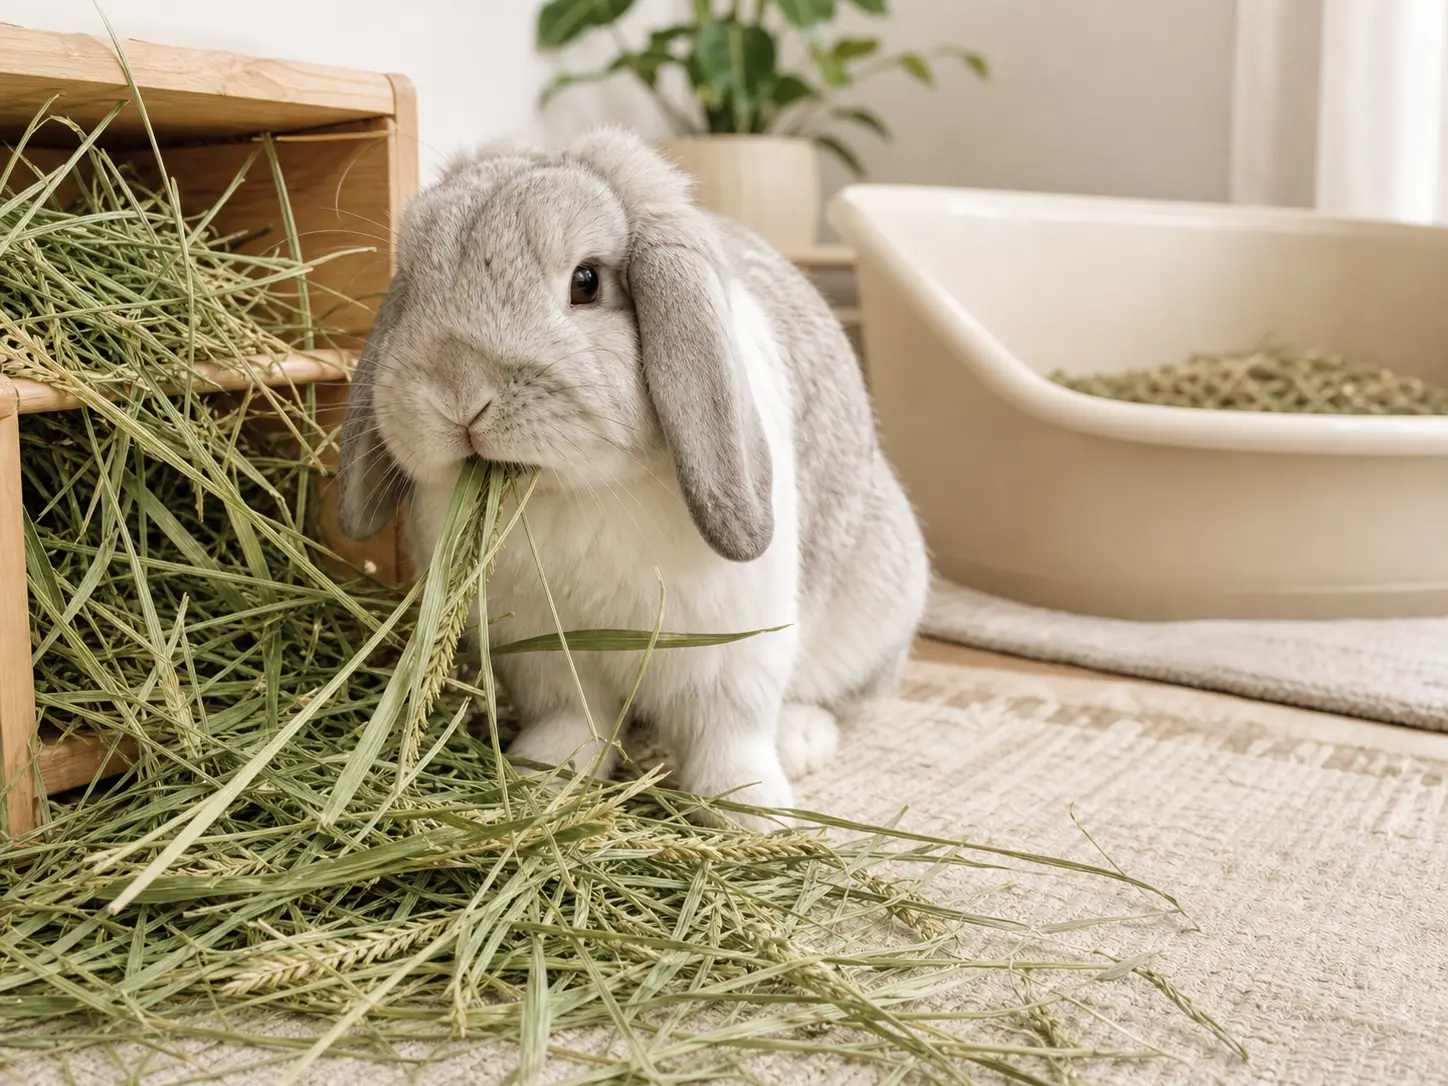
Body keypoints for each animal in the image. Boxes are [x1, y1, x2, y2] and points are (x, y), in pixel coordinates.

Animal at [336, 127, 929, 831]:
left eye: (586, 282)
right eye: (415, 282)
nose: (458, 391)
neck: (579, 492)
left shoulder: (734, 651)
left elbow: (731, 736)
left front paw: (755, 815)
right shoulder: (545, 655)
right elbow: (573, 723)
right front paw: (542, 780)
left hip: (876, 614)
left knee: (834, 699)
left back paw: (800, 741)